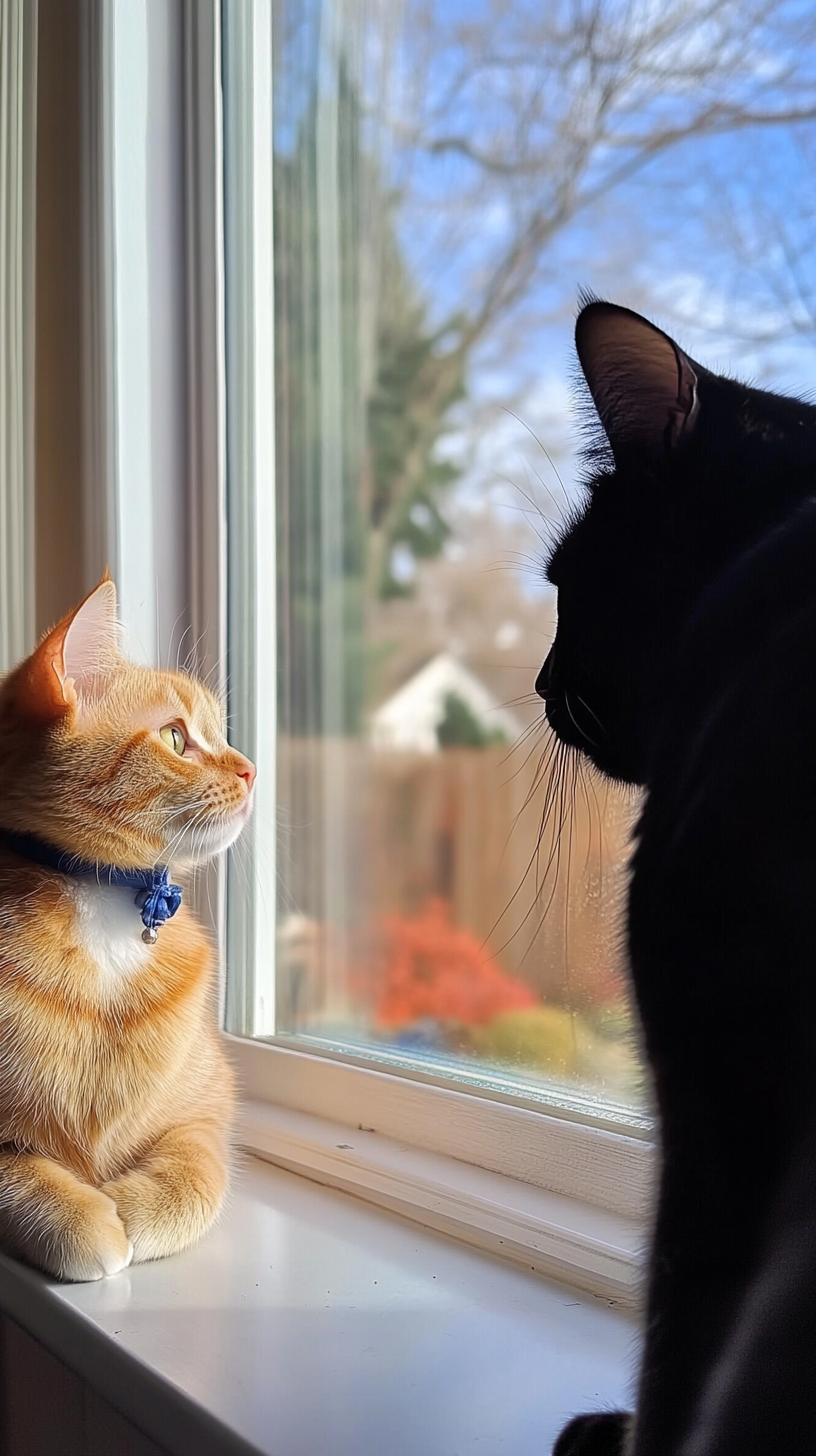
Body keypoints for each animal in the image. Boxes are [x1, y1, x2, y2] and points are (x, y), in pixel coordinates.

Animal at [0, 573, 253, 1281]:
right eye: (175, 738)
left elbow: (197, 1173)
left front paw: (137, 1211)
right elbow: (18, 1175)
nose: (250, 769)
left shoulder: (207, 1110)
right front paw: (79, 1216)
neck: (105, 904)